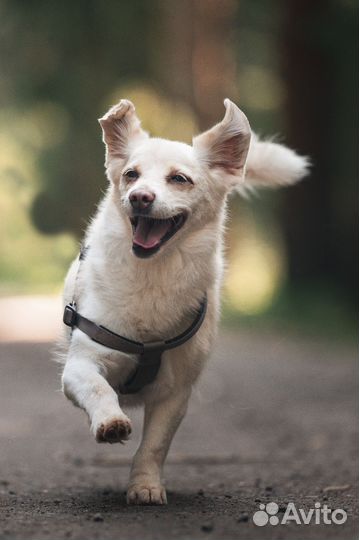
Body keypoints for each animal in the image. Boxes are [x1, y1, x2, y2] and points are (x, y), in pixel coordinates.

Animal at [59, 98, 310, 506]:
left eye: (179, 179)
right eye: (131, 175)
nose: (140, 197)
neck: (152, 275)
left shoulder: (175, 393)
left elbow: (155, 445)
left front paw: (145, 485)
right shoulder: (80, 365)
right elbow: (99, 388)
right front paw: (110, 422)